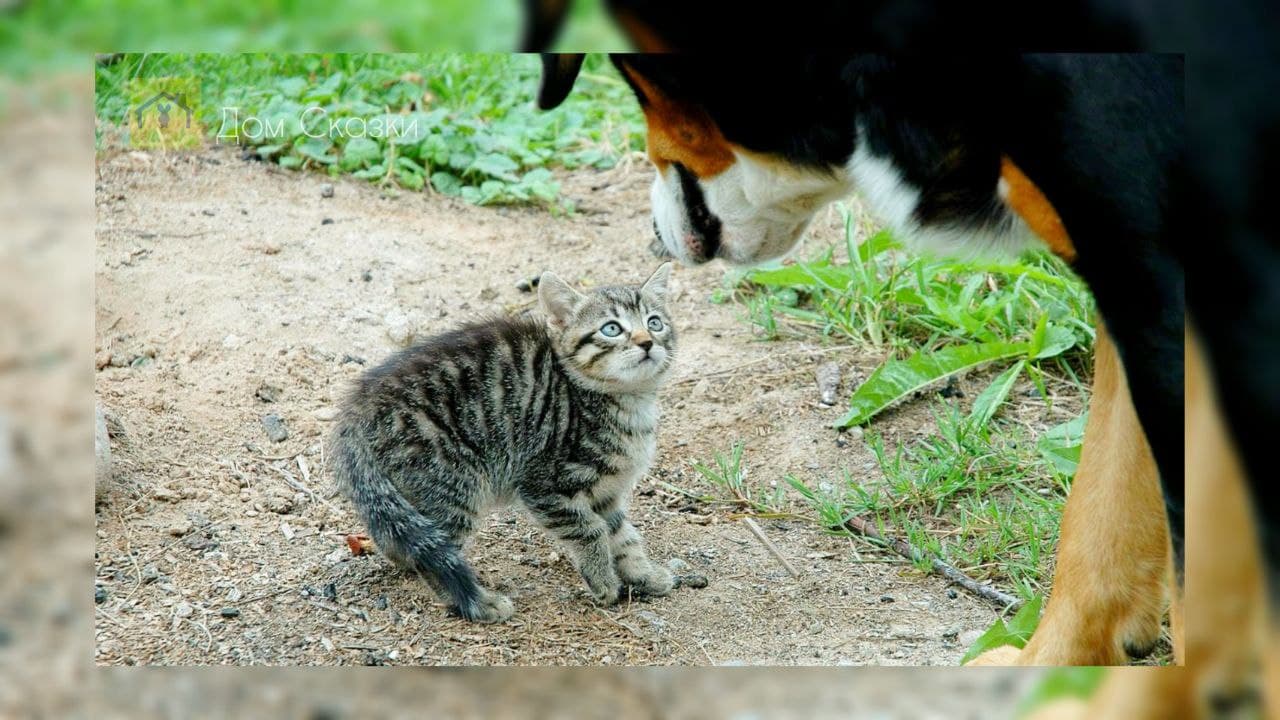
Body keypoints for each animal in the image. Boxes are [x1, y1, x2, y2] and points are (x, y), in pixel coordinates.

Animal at [332, 263, 680, 622]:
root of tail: (358, 408)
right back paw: (480, 604)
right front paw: (603, 581)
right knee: (433, 555)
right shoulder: (543, 484)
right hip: (453, 483)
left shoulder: (605, 492)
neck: (629, 402)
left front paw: (644, 574)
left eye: (655, 322)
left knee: (400, 536)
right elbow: (589, 529)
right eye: (612, 329)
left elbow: (624, 536)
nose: (647, 342)